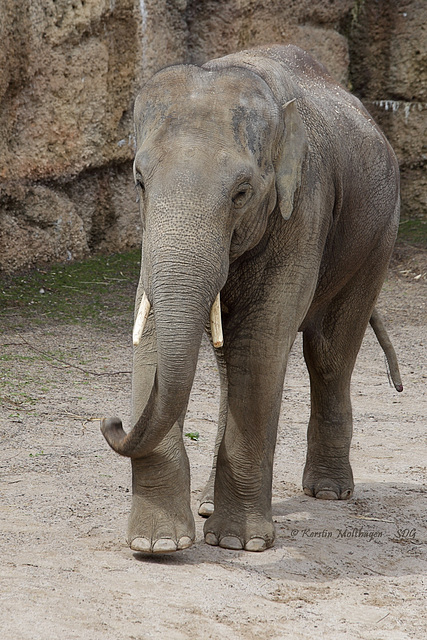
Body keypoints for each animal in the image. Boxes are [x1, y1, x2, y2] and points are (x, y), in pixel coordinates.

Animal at [102, 45, 402, 556]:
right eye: (139, 181)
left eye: (242, 193)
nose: (113, 422)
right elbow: (154, 335)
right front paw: (157, 545)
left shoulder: (304, 206)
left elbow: (262, 345)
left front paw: (239, 544)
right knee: (231, 366)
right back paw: (206, 505)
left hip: (377, 238)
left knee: (328, 354)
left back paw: (328, 491)